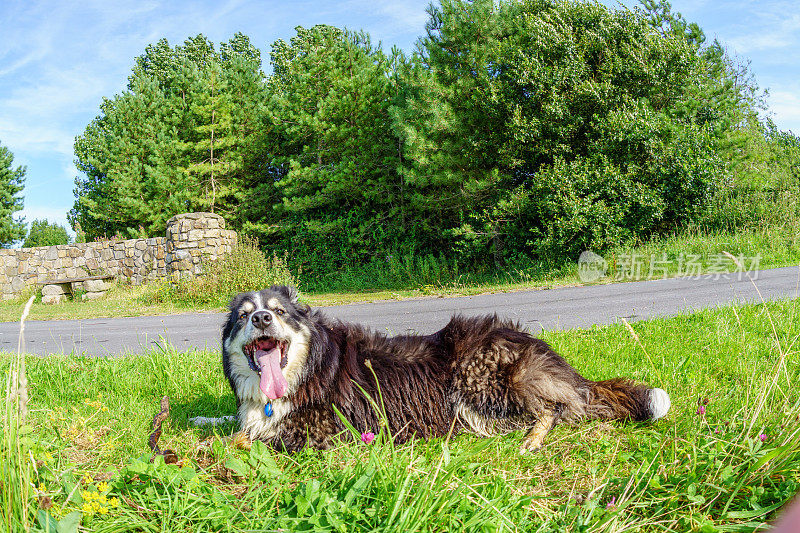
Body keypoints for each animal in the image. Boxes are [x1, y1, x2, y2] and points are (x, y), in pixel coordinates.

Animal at [222, 284, 672, 450]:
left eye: (279, 311)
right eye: (244, 317)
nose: (262, 319)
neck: (308, 368)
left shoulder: (320, 431)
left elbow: (239, 440)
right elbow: (235, 427)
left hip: (480, 379)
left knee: (554, 409)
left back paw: (532, 438)